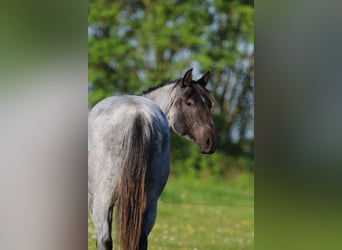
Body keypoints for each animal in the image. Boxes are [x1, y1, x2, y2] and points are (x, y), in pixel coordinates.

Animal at [88, 68, 216, 250]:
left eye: (209, 105)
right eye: (189, 103)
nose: (211, 141)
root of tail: (137, 114)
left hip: (102, 202)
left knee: (105, 239)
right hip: (149, 203)